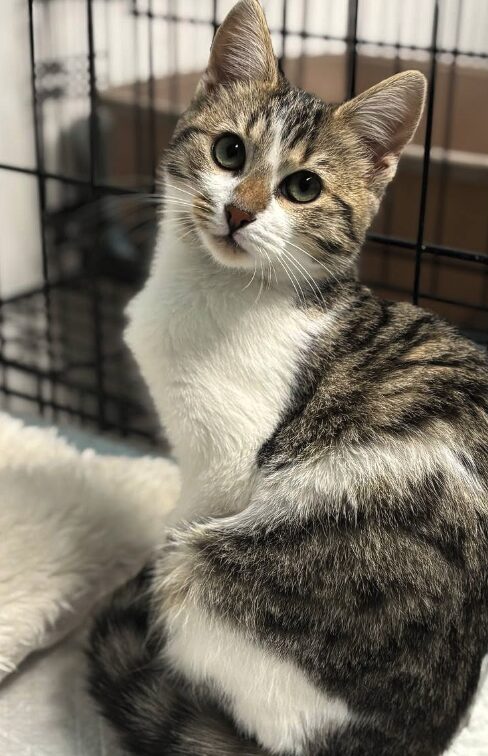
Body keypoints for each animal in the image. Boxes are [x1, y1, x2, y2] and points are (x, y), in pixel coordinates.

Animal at [87, 1, 488, 756]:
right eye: (228, 152)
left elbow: (179, 519)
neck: (219, 290)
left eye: (304, 188)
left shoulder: (223, 466)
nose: (240, 211)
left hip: (210, 576)